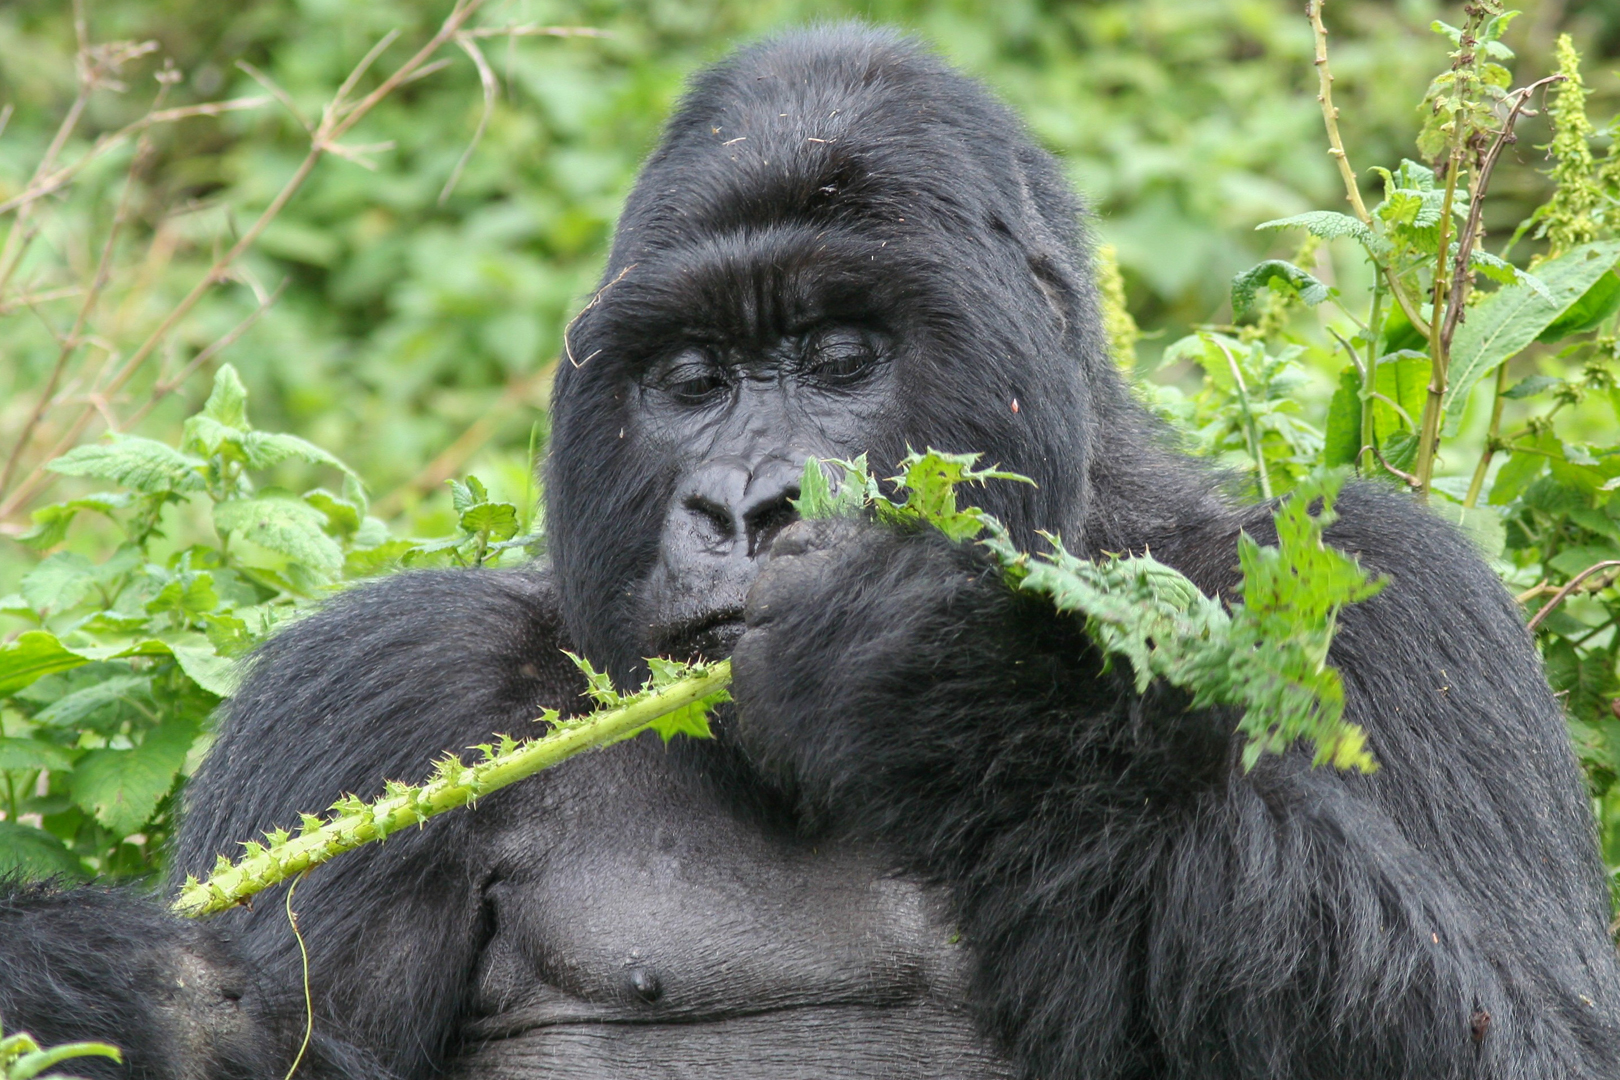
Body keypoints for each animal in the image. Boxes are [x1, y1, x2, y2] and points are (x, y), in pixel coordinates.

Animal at [3, 23, 1620, 1080]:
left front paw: (956, 689)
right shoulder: (369, 689)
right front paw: (104, 1000)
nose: (742, 507)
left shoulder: (1399, 596)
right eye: (694, 380)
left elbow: (1535, 1036)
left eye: (841, 357)